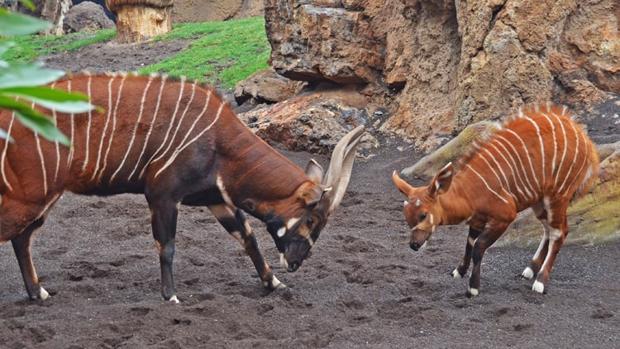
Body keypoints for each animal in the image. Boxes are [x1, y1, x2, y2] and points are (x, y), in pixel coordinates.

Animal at [0, 71, 366, 302]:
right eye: (312, 219)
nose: (296, 262)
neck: (219, 141)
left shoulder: (215, 199)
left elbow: (247, 238)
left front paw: (274, 283)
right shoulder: (162, 196)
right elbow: (168, 247)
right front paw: (171, 296)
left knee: (22, 238)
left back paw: (39, 293)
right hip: (30, 196)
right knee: (17, 234)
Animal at [392, 103, 600, 296]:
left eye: (423, 215)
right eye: (407, 217)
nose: (414, 245)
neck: (469, 192)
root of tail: (584, 138)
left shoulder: (504, 217)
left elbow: (478, 247)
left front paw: (473, 288)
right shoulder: (477, 221)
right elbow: (469, 243)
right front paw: (459, 272)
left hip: (558, 195)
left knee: (559, 232)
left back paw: (540, 281)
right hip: (539, 201)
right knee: (550, 228)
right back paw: (529, 270)